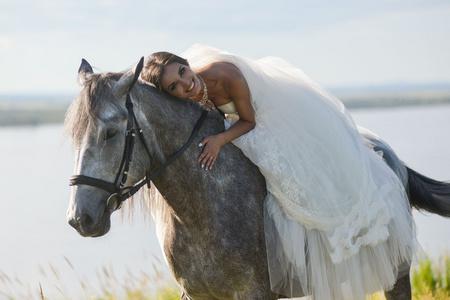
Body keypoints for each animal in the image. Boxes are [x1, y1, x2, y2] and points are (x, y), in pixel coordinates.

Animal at [66, 59, 450, 300]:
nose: (79, 219)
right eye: (74, 135)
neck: (206, 206)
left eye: (111, 133)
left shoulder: (255, 293)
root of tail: (389, 155)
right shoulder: (198, 294)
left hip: (396, 274)